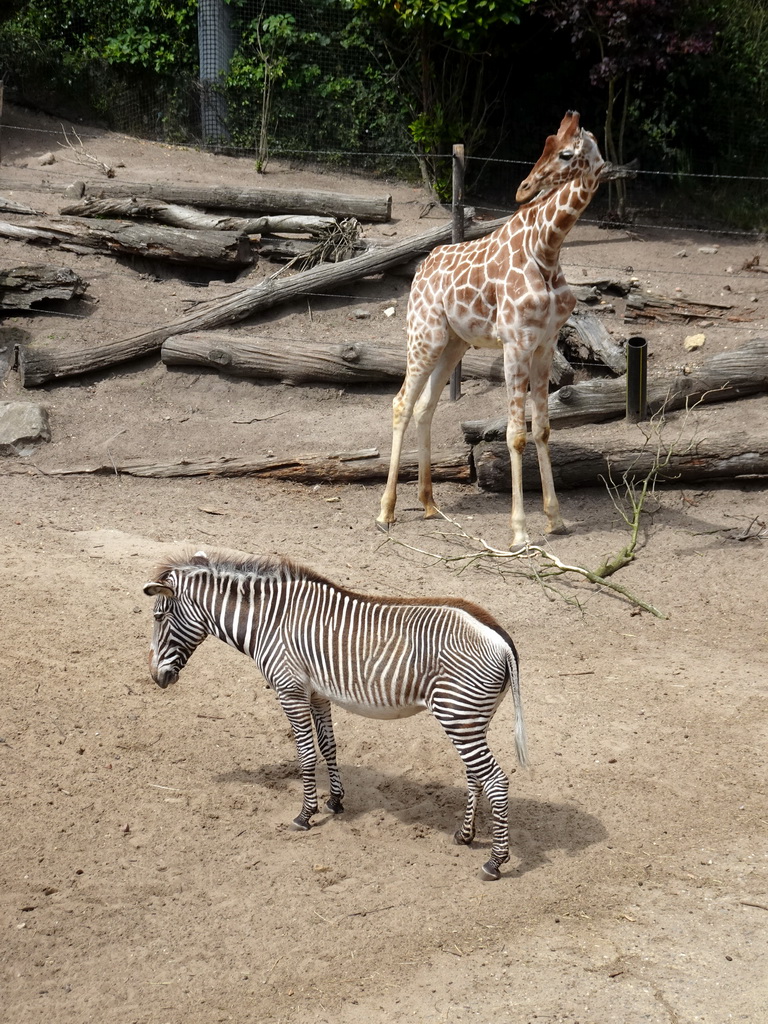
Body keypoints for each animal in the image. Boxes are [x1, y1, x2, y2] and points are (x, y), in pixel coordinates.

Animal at [144, 548, 528, 876]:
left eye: (159, 616)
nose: (156, 678)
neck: (269, 621)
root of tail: (501, 637)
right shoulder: (317, 693)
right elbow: (328, 746)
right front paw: (335, 801)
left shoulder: (290, 690)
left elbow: (305, 754)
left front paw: (305, 814)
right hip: (471, 718)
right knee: (475, 774)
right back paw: (465, 835)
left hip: (457, 714)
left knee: (495, 780)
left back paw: (495, 861)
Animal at [376, 112, 606, 548]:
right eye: (546, 145)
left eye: (565, 153)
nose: (524, 188)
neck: (547, 249)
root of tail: (421, 267)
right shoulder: (516, 342)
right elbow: (515, 434)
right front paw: (519, 533)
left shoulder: (545, 344)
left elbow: (542, 430)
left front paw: (555, 519)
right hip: (425, 335)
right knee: (400, 403)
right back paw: (386, 512)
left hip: (453, 344)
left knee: (425, 406)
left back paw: (429, 504)